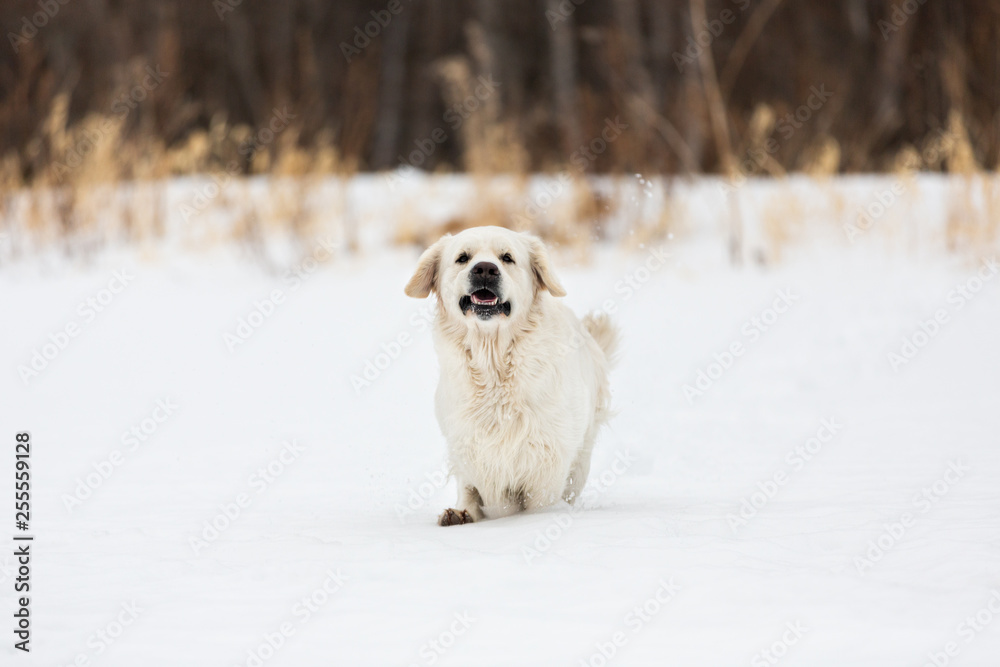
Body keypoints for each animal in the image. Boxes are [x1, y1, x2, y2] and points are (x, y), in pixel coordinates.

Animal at [406, 227, 616, 524]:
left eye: (507, 257)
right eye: (462, 258)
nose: (484, 269)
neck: (493, 366)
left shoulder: (548, 462)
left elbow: (537, 505)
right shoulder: (471, 453)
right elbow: (478, 495)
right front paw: (464, 513)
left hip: (580, 459)